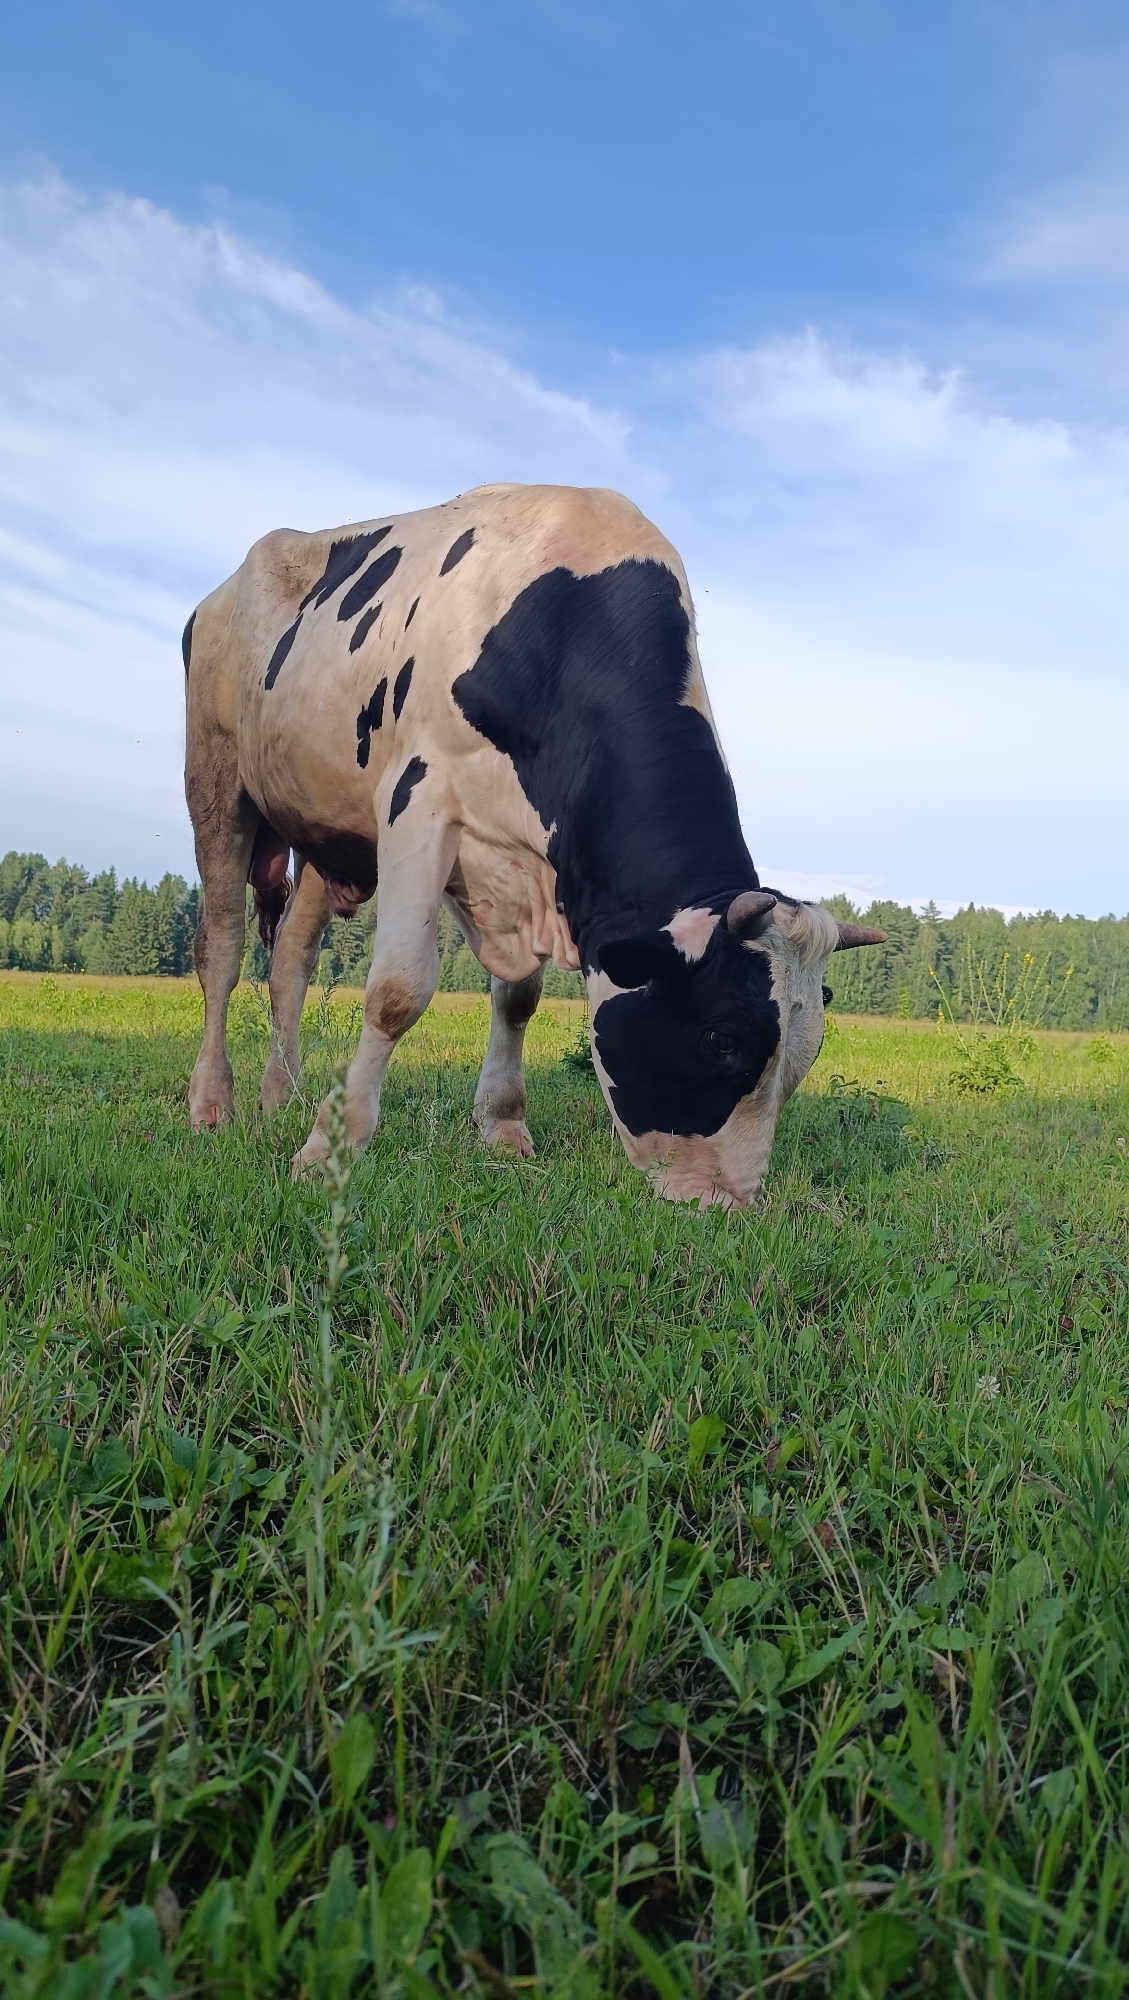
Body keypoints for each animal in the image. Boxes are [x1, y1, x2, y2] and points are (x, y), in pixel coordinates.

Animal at [183, 483, 884, 1207]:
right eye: (723, 1038)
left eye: (806, 1053)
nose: (731, 1204)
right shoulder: (418, 801)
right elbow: (398, 991)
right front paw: (329, 1148)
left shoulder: (530, 865)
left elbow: (518, 998)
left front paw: (501, 1125)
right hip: (216, 773)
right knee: (223, 948)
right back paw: (212, 1103)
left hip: (327, 828)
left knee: (292, 955)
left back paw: (281, 1095)